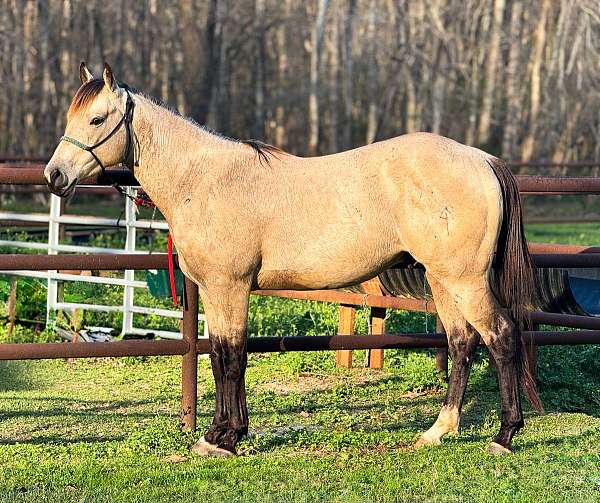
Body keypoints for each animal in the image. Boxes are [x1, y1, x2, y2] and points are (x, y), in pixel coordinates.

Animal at [44, 62, 540, 456]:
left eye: (97, 118)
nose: (54, 176)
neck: (204, 180)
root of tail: (482, 159)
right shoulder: (214, 291)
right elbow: (218, 356)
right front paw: (218, 434)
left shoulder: (230, 287)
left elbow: (233, 357)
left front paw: (227, 438)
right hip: (441, 279)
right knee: (461, 343)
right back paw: (439, 430)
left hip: (464, 280)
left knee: (500, 338)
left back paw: (504, 436)